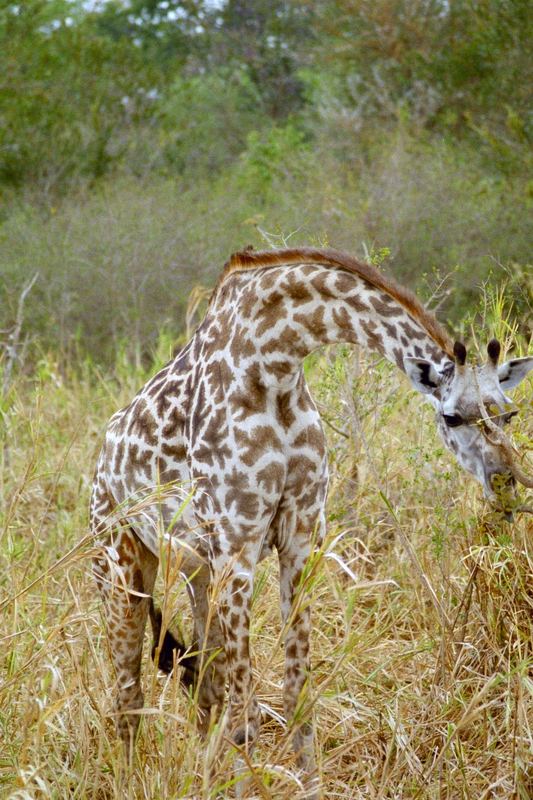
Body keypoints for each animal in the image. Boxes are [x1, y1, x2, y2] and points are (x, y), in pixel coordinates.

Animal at [89, 247, 528, 796]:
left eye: (509, 413)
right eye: (451, 417)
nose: (506, 479)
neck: (273, 362)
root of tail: (101, 461)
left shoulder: (298, 542)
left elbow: (296, 696)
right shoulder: (238, 547)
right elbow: (246, 714)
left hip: (196, 573)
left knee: (205, 690)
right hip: (121, 565)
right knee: (129, 694)